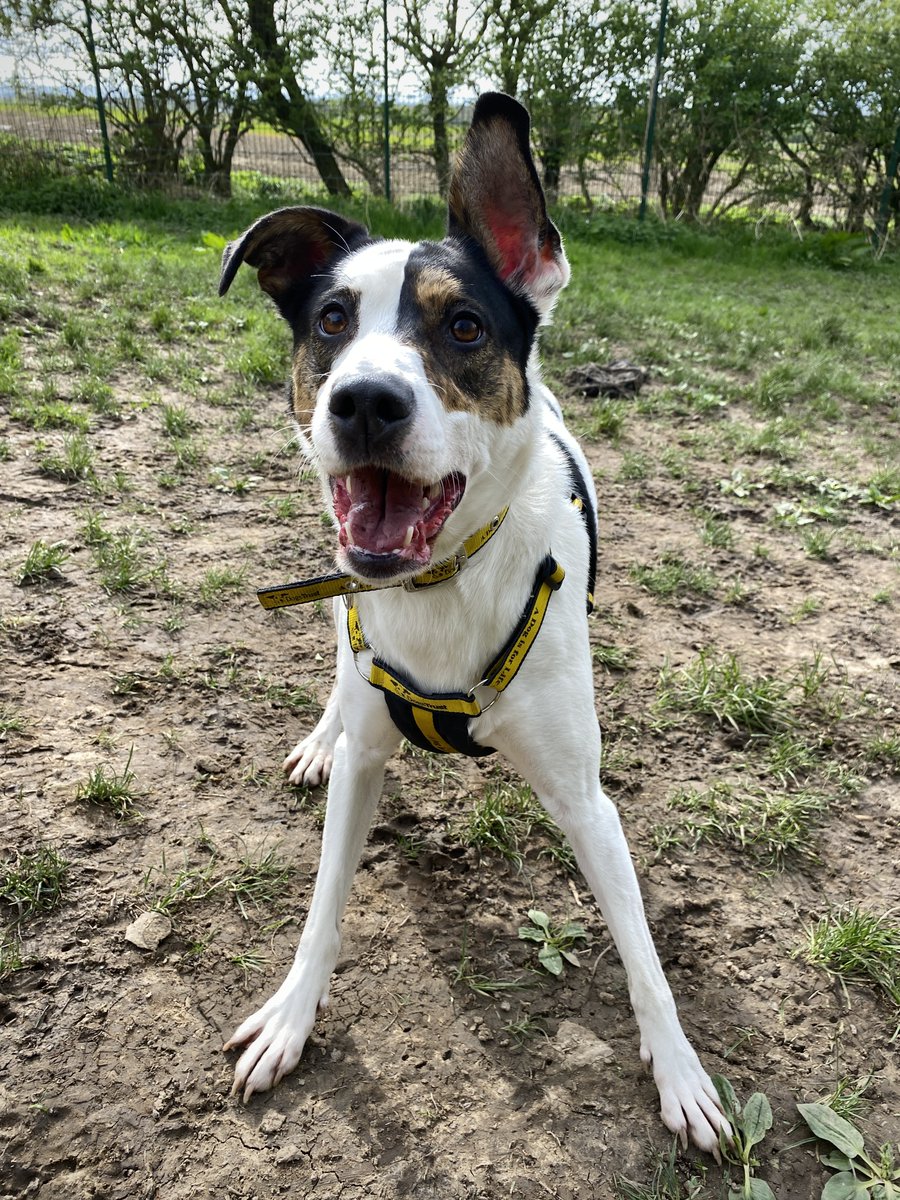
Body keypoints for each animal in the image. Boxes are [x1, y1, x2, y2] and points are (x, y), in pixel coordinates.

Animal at [220, 93, 734, 1152]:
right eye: (332, 319)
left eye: (462, 326)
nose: (365, 402)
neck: (442, 587)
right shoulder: (370, 744)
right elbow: (324, 903)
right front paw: (291, 1016)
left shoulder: (587, 801)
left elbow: (643, 953)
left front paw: (682, 1072)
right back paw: (319, 736)